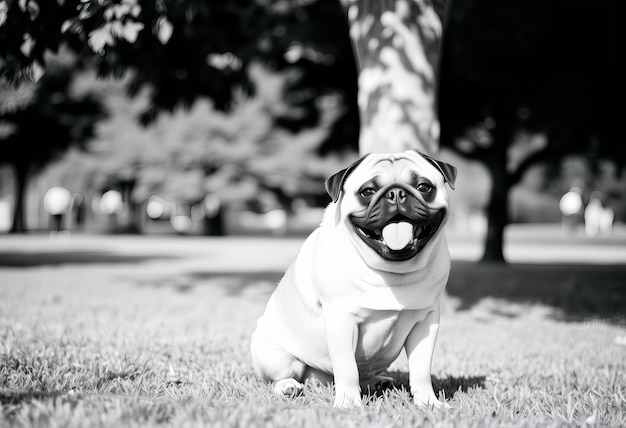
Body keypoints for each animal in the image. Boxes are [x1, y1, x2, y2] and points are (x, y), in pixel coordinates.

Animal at [247, 150, 454, 408]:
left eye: (424, 187)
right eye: (368, 191)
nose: (396, 193)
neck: (392, 271)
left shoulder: (426, 323)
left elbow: (421, 370)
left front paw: (429, 403)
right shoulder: (341, 321)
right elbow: (347, 369)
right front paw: (348, 404)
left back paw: (377, 382)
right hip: (278, 357)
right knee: (279, 378)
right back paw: (288, 387)